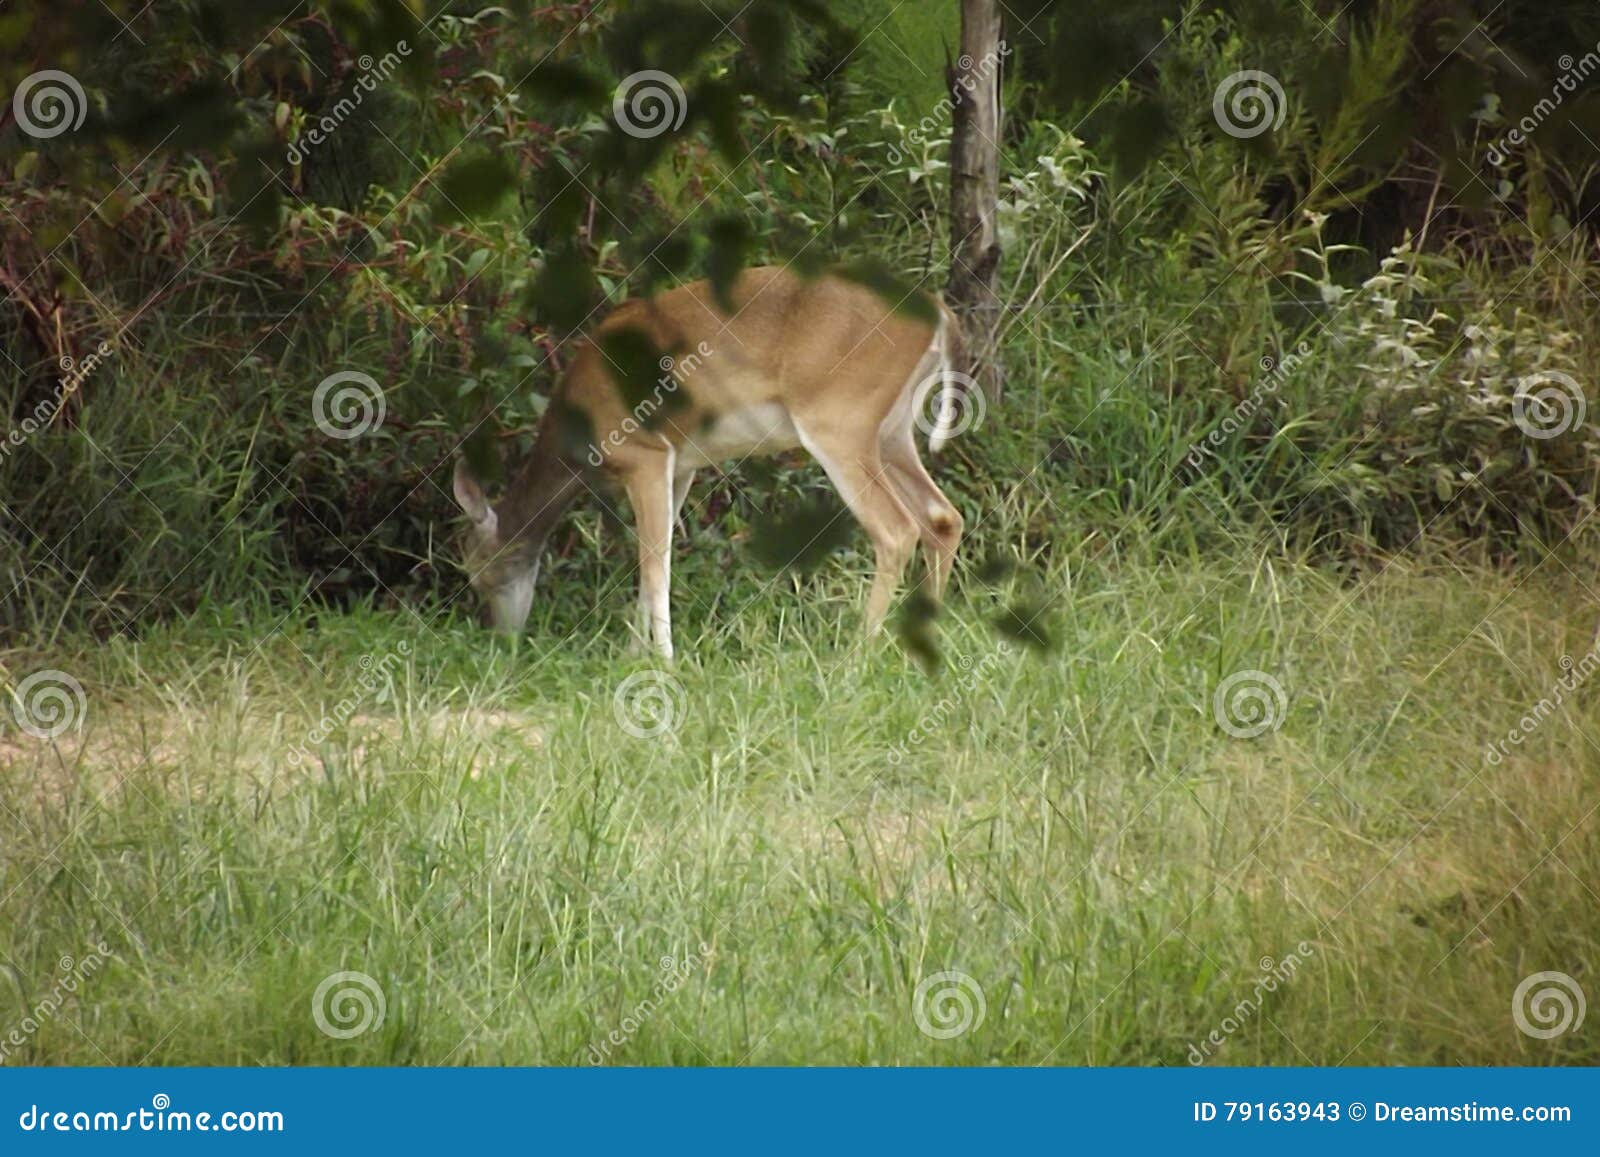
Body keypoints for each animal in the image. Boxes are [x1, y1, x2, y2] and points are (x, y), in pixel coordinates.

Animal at [450, 264, 966, 658]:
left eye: (479, 574)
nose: (502, 641)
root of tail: (939, 313)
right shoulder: (681, 465)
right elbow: (652, 564)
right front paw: (634, 655)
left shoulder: (644, 454)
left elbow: (655, 564)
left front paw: (664, 662)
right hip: (893, 432)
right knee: (943, 517)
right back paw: (921, 639)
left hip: (838, 419)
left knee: (896, 529)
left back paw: (859, 653)